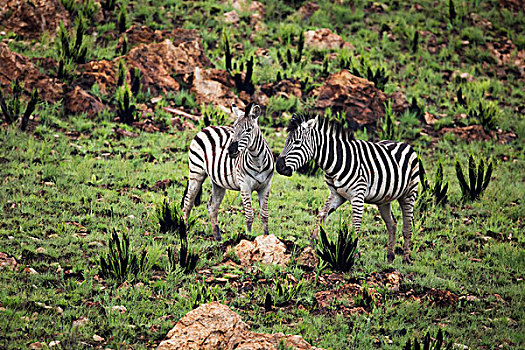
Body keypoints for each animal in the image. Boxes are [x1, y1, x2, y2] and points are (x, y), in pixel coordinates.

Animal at [182, 102, 274, 242]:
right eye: (234, 128)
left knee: (212, 206)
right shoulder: (245, 185)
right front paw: (248, 238)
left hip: (218, 182)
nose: (231, 151)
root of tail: (207, 127)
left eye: (248, 130)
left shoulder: (265, 186)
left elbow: (265, 215)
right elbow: (249, 215)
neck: (257, 161)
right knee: (188, 203)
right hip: (196, 171)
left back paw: (218, 238)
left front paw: (266, 237)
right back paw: (184, 233)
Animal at [274, 113, 418, 262]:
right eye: (286, 141)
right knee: (392, 224)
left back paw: (406, 258)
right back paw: (390, 257)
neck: (336, 162)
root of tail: (402, 143)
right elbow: (322, 214)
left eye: (297, 142)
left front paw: (354, 252)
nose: (278, 167)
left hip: (409, 193)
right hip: (383, 199)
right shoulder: (336, 194)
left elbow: (356, 223)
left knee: (407, 227)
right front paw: (313, 242)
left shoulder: (358, 196)